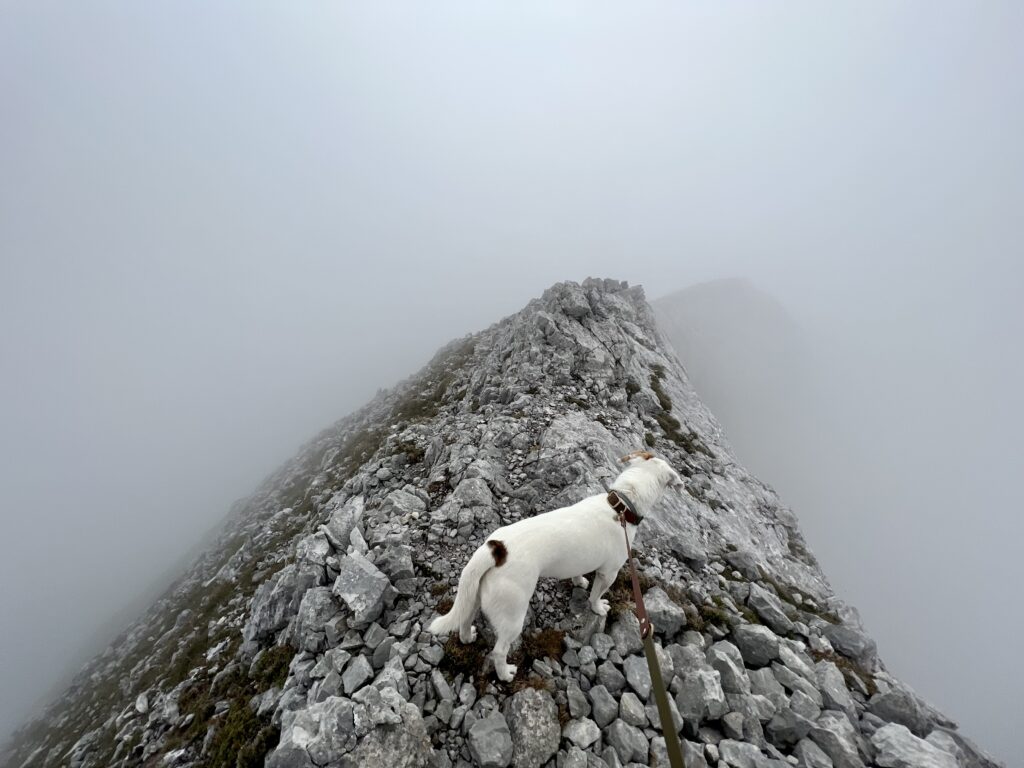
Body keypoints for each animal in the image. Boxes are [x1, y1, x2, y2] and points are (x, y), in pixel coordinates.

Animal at [428, 454, 684, 684]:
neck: (621, 505)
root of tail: (496, 549)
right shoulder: (608, 573)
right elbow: (595, 596)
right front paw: (598, 608)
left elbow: (578, 573)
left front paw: (579, 581)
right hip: (513, 616)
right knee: (499, 651)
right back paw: (505, 674)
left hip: (475, 595)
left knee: (464, 619)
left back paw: (467, 637)